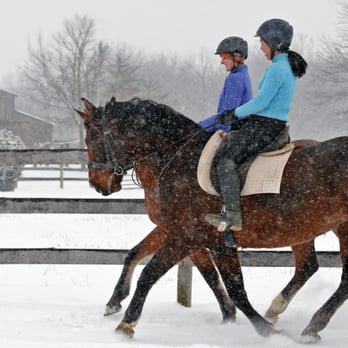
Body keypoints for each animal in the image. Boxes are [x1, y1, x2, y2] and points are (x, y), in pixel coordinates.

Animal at [77, 96, 348, 342]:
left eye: (91, 138)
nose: (96, 183)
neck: (177, 160)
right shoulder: (205, 240)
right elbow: (233, 287)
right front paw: (262, 327)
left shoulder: (186, 237)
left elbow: (150, 273)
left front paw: (127, 324)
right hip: (311, 230)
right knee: (310, 267)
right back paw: (288, 316)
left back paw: (310, 326)